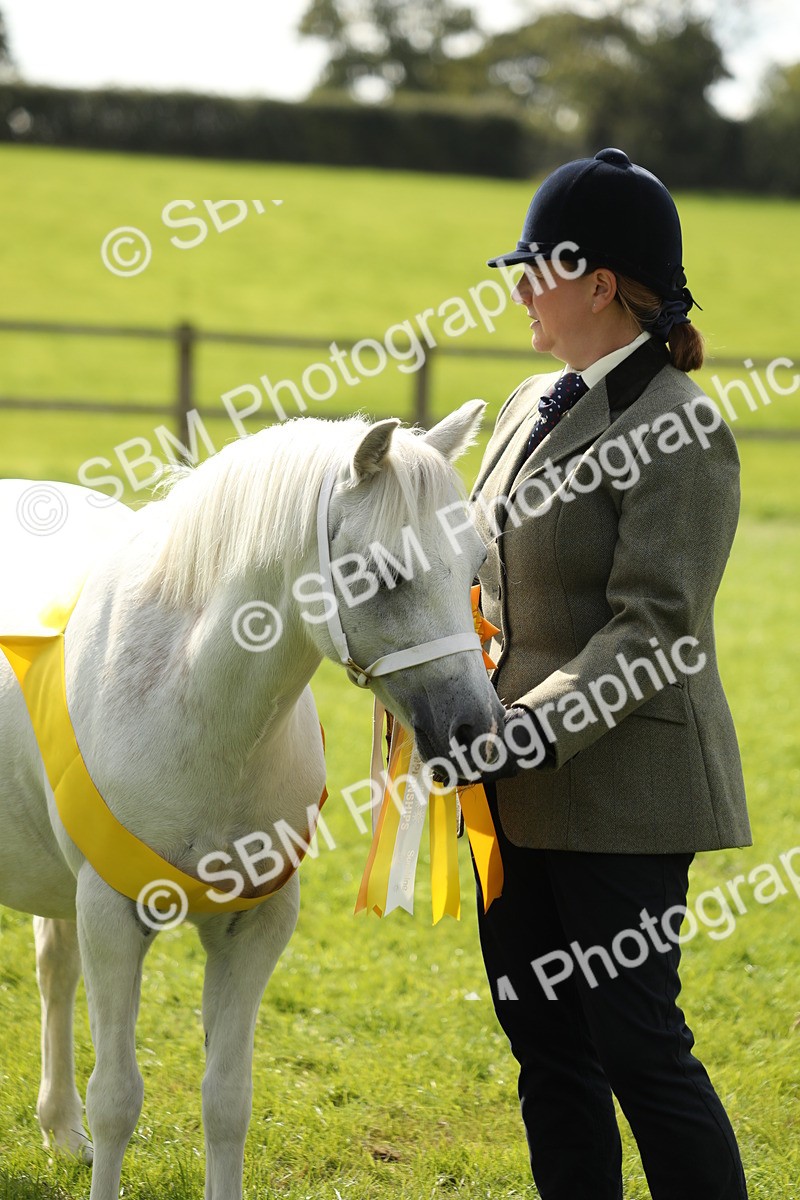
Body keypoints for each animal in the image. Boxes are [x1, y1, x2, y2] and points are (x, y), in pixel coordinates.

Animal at [0, 399, 504, 1200]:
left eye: (476, 564)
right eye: (382, 573)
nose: (474, 731)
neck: (192, 700)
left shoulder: (257, 926)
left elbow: (227, 1099)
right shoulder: (112, 914)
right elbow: (118, 1099)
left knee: (54, 969)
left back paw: (60, 1128)